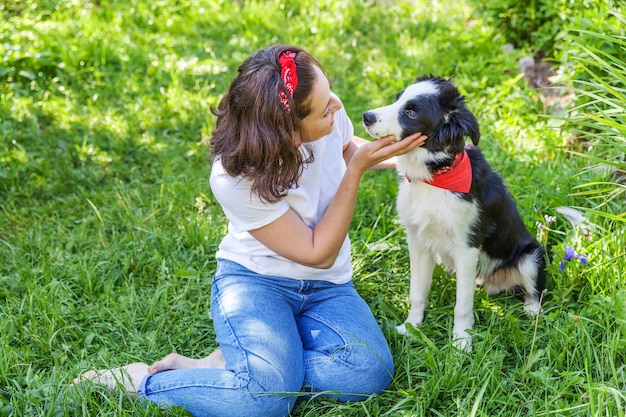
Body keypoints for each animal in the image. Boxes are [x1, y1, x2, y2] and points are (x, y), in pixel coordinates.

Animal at [364, 76, 544, 350]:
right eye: (397, 99)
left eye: (411, 112)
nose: (366, 117)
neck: (434, 178)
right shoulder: (417, 241)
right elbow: (417, 292)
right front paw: (411, 327)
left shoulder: (467, 248)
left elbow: (462, 305)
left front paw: (461, 342)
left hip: (531, 256)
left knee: (536, 291)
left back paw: (532, 311)